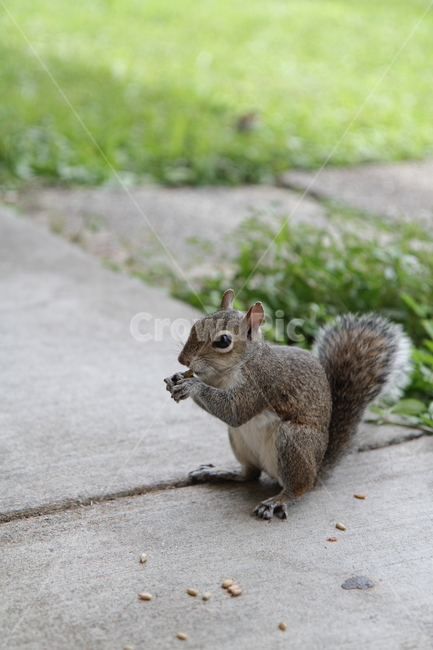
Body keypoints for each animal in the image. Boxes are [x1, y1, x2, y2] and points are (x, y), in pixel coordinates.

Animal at [164, 289, 412, 520]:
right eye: (196, 324)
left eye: (223, 341)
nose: (183, 360)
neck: (234, 367)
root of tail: (316, 469)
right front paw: (177, 378)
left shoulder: (262, 382)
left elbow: (235, 412)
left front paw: (191, 385)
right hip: (240, 440)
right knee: (250, 474)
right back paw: (221, 472)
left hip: (292, 441)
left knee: (298, 487)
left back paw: (278, 500)